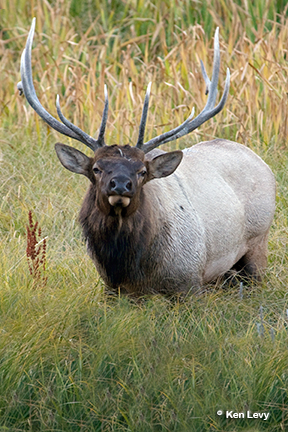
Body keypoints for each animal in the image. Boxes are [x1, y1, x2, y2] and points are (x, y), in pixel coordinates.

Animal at [19, 19, 276, 296]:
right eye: (97, 168)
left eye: (142, 171)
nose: (121, 185)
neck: (133, 270)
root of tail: (262, 163)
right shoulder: (112, 289)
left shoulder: (191, 281)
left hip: (258, 241)